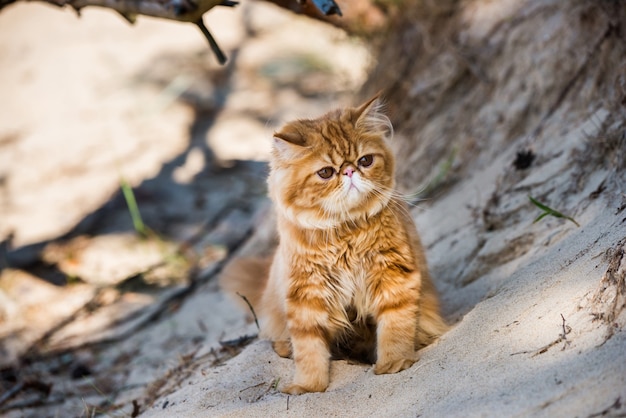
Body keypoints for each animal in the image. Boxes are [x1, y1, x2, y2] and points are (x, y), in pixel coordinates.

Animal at [219, 97, 444, 396]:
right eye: (325, 172)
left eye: (365, 160)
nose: (349, 171)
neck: (344, 232)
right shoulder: (306, 294)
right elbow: (309, 349)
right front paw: (308, 386)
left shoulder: (392, 274)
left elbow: (395, 325)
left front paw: (394, 362)